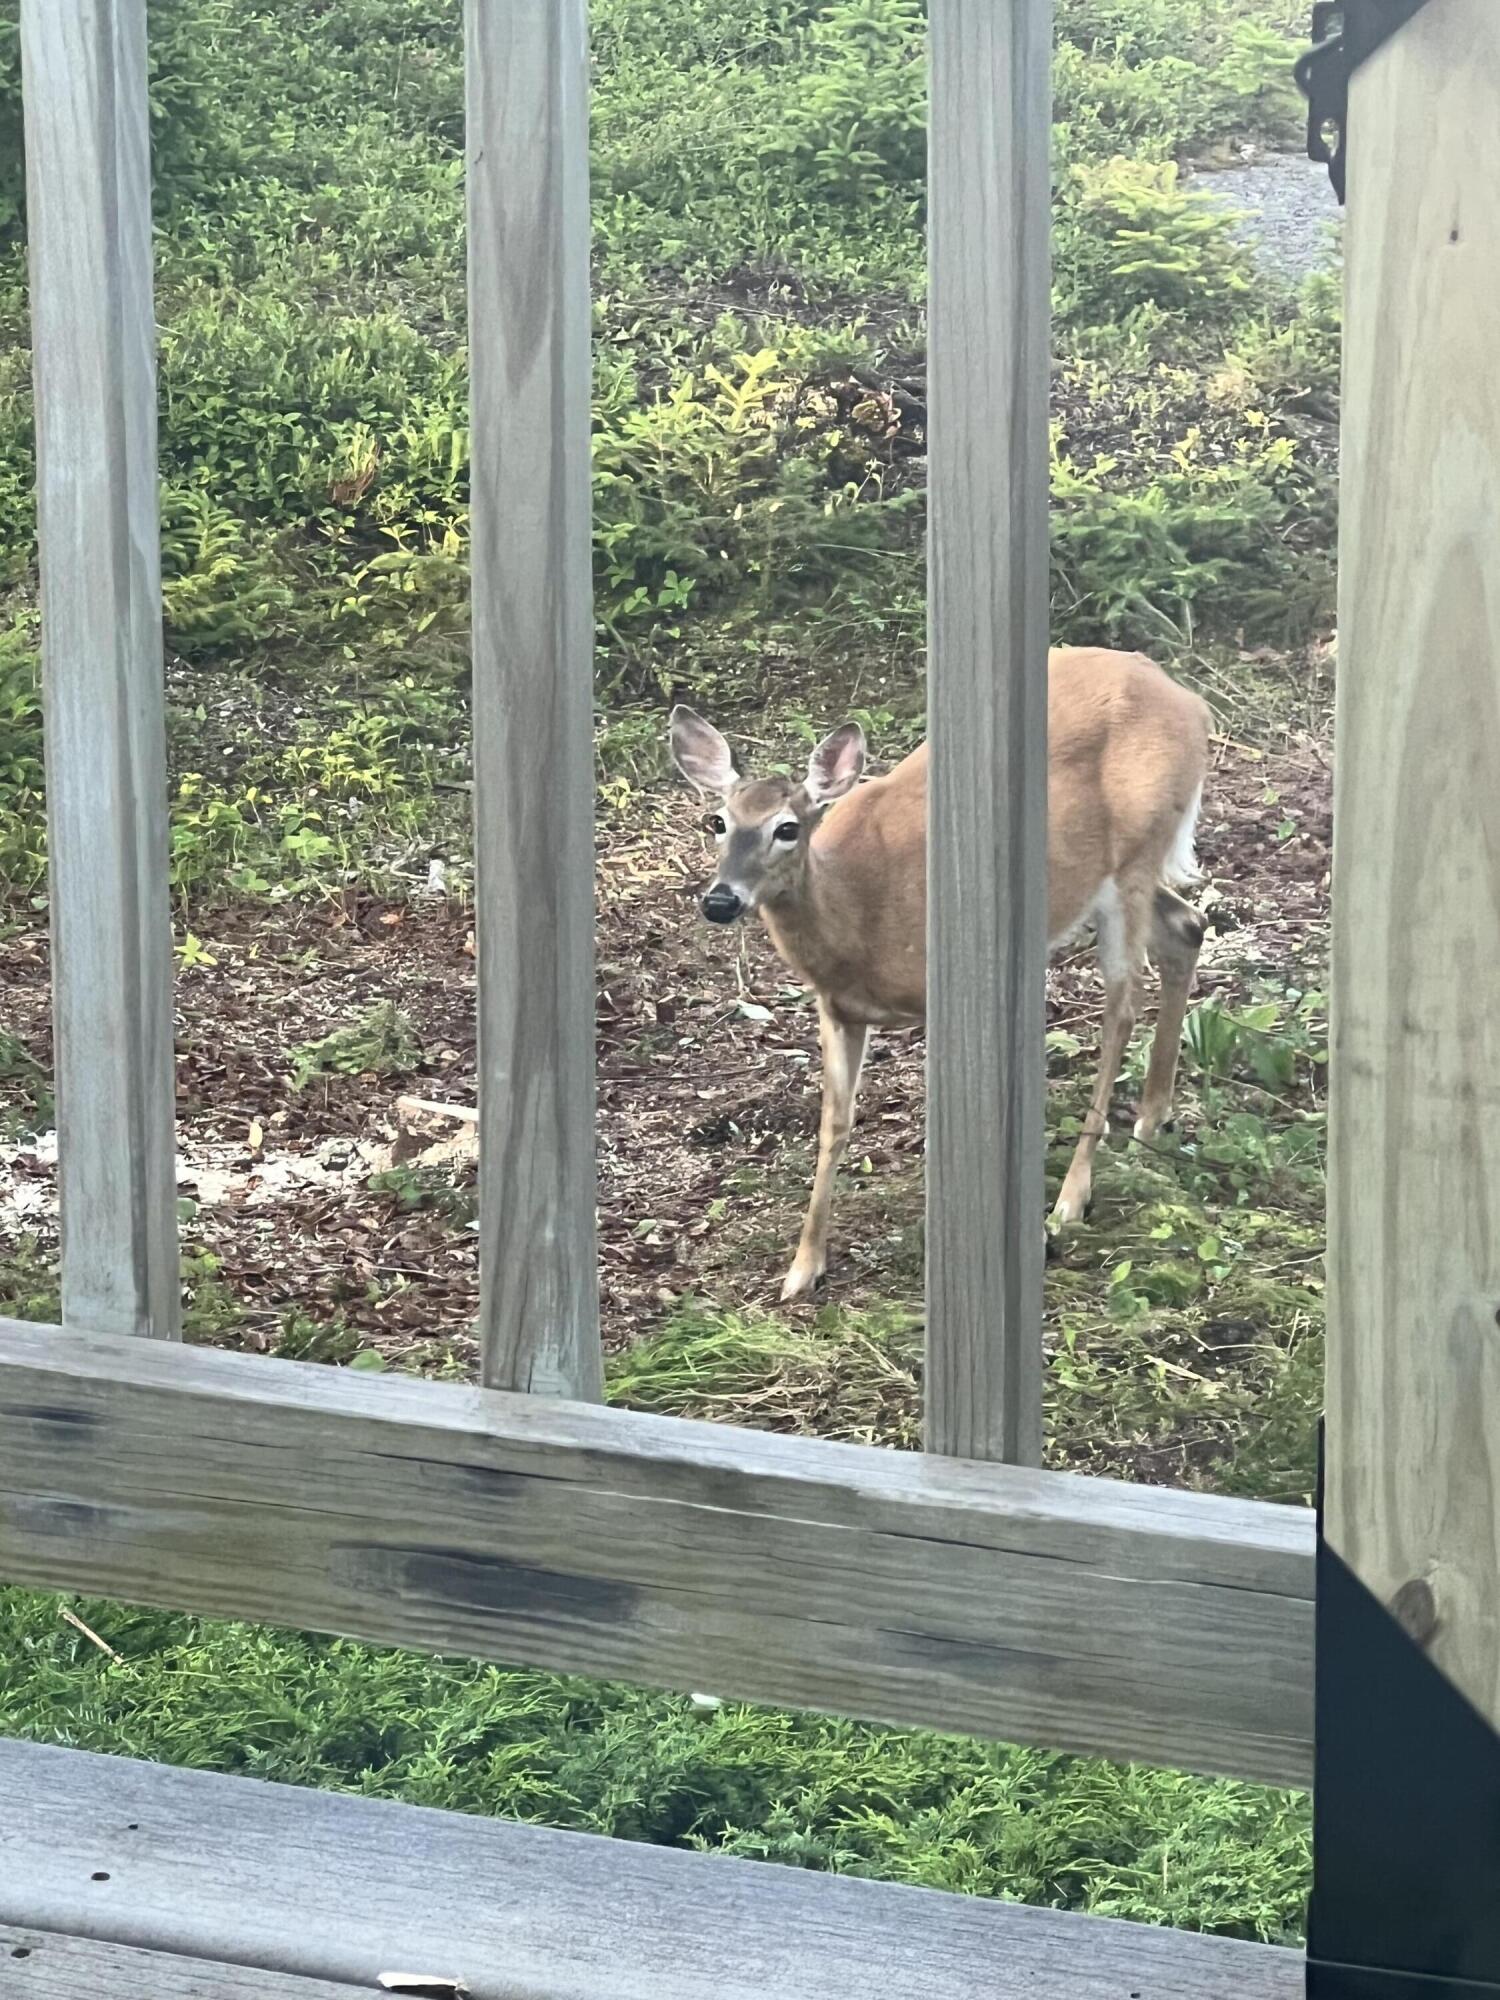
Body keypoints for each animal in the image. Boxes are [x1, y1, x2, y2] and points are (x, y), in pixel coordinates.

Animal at [670, 646, 1211, 1303]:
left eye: (787, 827)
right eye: (717, 822)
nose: (721, 900)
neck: (859, 919)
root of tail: (1191, 703)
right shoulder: (836, 1007)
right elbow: (834, 1123)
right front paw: (802, 1268)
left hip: (1134, 858)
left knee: (1122, 1007)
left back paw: (1071, 1198)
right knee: (1187, 925)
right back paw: (1151, 1121)